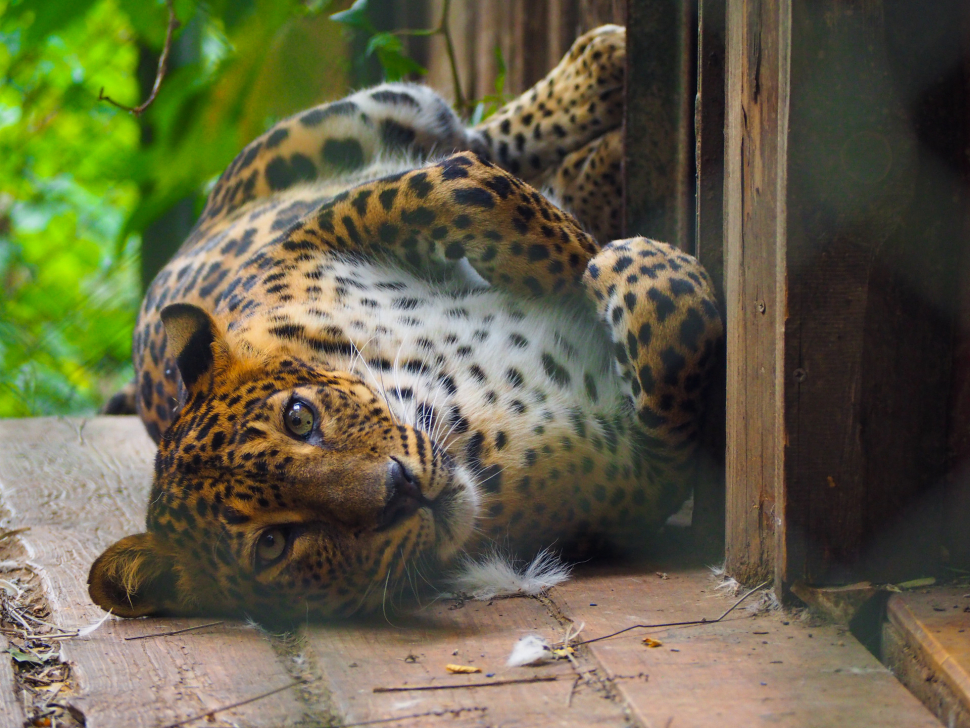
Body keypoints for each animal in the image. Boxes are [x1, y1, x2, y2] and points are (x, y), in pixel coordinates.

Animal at [87, 25, 720, 624]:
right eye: (273, 544)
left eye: (300, 417)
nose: (401, 491)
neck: (450, 403)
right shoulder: (636, 482)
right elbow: (672, 339)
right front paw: (634, 264)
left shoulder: (319, 230)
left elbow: (466, 187)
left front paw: (582, 263)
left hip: (347, 119)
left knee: (471, 139)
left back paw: (606, 75)